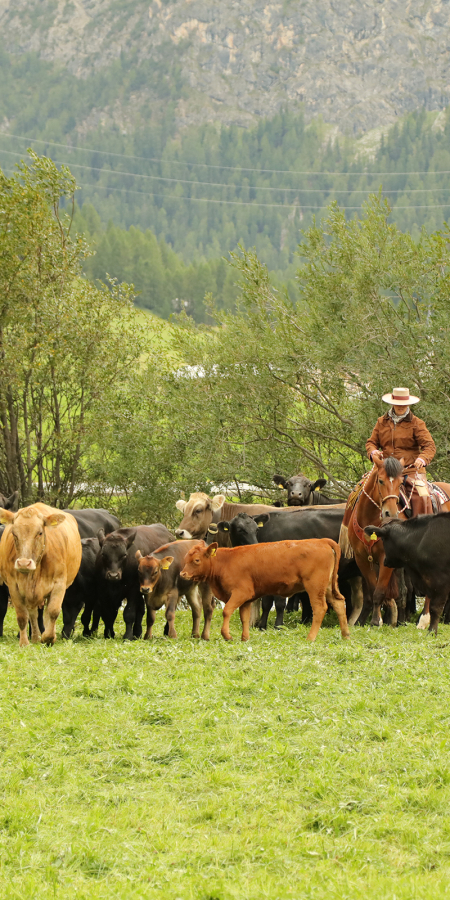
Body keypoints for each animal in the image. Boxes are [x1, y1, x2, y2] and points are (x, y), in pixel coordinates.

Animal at [0, 503, 82, 646]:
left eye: (39, 533)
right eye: (14, 533)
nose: (23, 563)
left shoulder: (60, 583)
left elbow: (53, 611)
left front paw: (48, 637)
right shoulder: (13, 586)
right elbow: (22, 616)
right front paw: (24, 643)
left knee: (47, 613)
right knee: (32, 613)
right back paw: (35, 637)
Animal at [180, 539, 350, 643]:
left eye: (196, 560)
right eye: (185, 559)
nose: (183, 574)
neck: (226, 561)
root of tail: (321, 540)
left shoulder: (240, 593)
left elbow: (227, 611)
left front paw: (227, 635)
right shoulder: (246, 599)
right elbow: (244, 617)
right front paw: (245, 638)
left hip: (315, 587)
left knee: (320, 609)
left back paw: (311, 637)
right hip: (328, 587)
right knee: (339, 604)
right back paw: (345, 635)